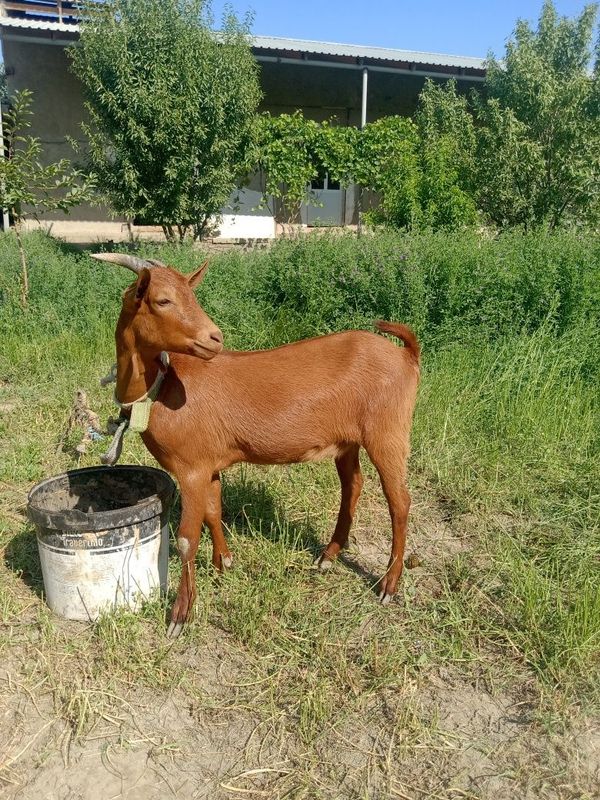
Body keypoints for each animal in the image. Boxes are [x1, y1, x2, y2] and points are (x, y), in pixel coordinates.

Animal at [94, 253, 422, 636]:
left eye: (192, 295)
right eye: (163, 300)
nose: (215, 338)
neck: (162, 387)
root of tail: (406, 356)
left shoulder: (190, 468)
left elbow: (187, 538)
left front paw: (180, 615)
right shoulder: (207, 464)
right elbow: (213, 511)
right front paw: (223, 564)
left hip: (388, 432)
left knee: (399, 500)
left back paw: (389, 585)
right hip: (348, 440)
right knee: (353, 485)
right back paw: (328, 556)